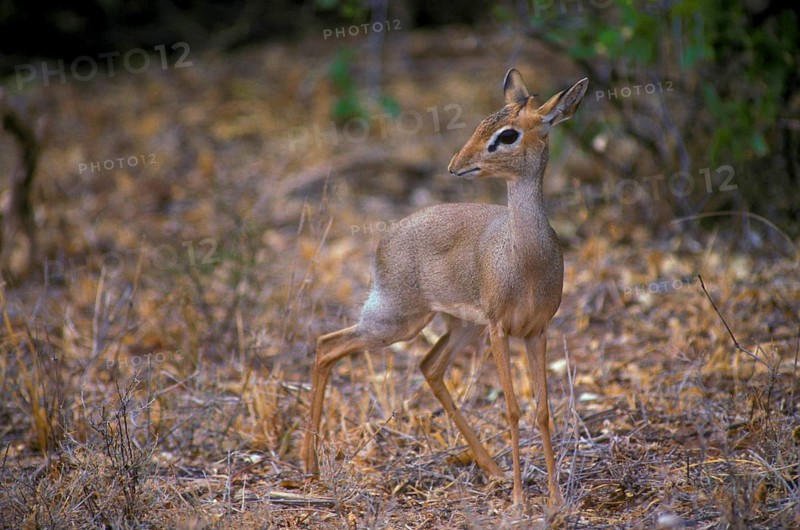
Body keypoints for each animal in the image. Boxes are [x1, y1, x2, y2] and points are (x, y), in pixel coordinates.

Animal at [302, 68, 588, 507]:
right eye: (481, 125)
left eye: (507, 134)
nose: (456, 166)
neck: (526, 260)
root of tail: (385, 238)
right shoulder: (499, 329)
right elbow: (512, 409)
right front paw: (520, 501)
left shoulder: (537, 331)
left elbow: (542, 410)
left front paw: (554, 500)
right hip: (397, 321)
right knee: (326, 345)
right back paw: (310, 467)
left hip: (458, 325)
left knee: (429, 367)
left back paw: (493, 469)